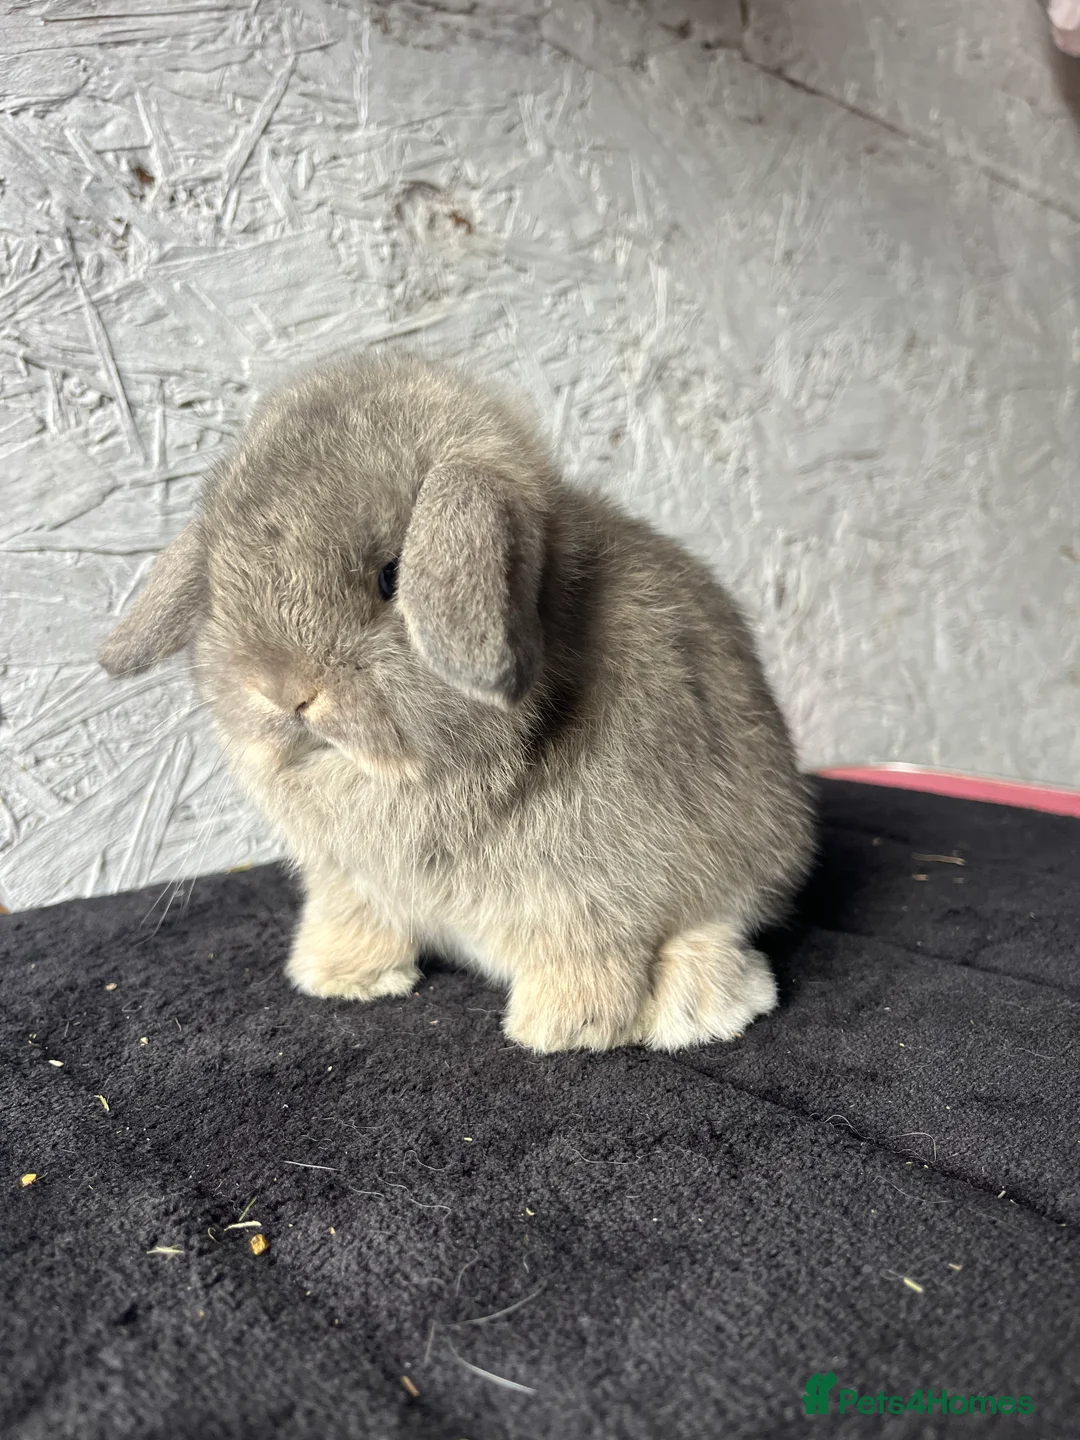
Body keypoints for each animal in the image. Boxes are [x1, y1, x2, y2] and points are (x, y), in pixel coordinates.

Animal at [99, 353, 814, 1053]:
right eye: (222, 579)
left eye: (391, 577)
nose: (284, 693)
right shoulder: (349, 881)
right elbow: (355, 921)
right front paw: (339, 978)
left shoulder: (594, 888)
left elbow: (593, 949)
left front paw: (564, 1027)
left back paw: (699, 1006)